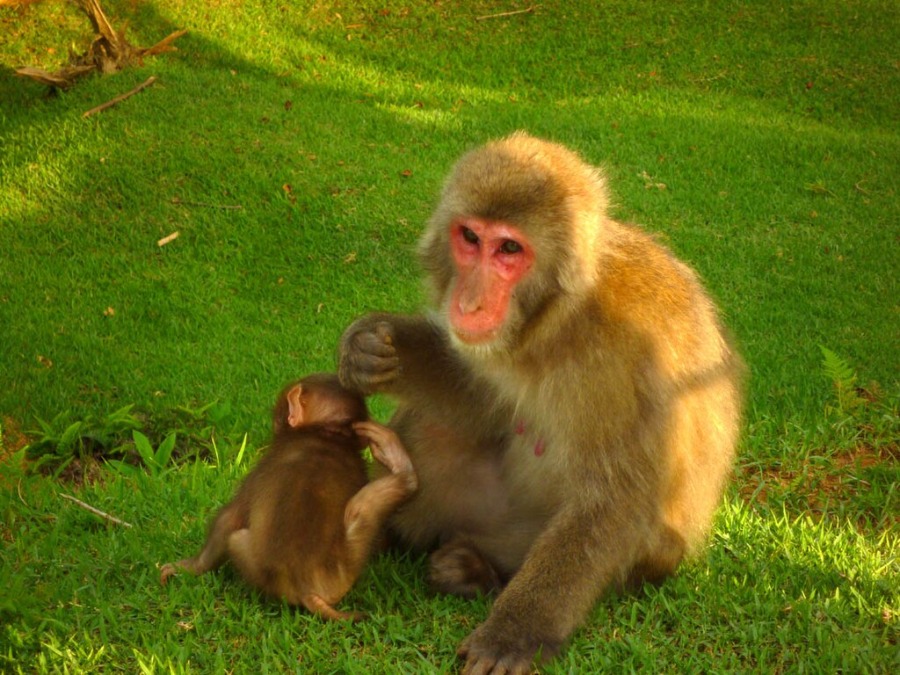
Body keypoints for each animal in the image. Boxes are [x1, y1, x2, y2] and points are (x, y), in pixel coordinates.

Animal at [160, 372, 416, 620]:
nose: (276, 422)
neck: (325, 437)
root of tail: (306, 590)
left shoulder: (260, 468)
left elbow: (229, 519)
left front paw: (188, 567)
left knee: (235, 537)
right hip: (346, 569)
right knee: (365, 507)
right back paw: (401, 467)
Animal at [342, 131, 740, 672]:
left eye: (510, 248)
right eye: (471, 238)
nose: (469, 303)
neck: (559, 319)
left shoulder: (625, 356)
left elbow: (613, 500)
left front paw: (515, 633)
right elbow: (480, 401)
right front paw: (380, 348)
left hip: (558, 545)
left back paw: (476, 571)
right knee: (436, 426)